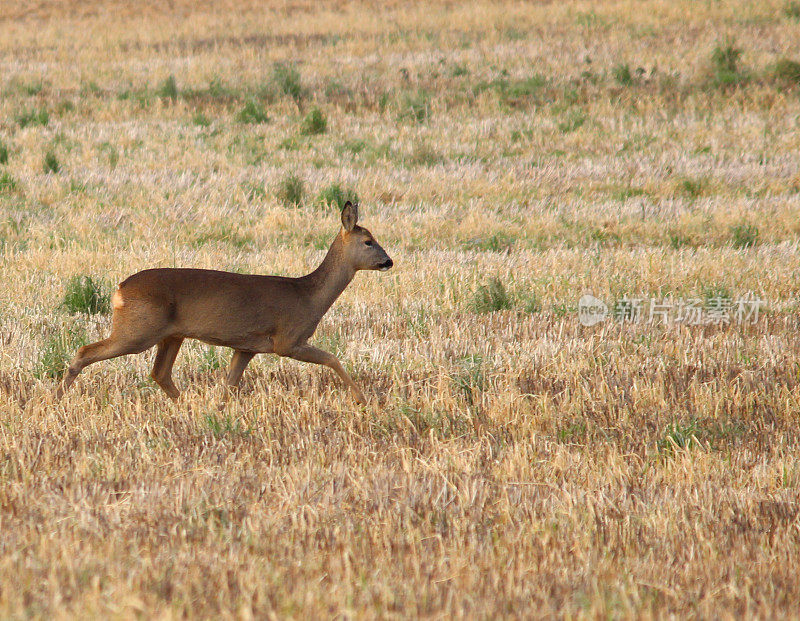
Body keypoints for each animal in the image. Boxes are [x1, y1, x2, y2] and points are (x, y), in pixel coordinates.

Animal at [54, 201, 392, 404]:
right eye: (368, 241)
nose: (388, 261)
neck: (308, 295)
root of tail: (119, 289)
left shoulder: (246, 346)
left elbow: (229, 384)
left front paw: (218, 409)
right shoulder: (287, 340)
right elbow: (333, 358)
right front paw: (363, 400)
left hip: (172, 335)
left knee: (160, 373)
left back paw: (186, 406)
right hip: (138, 330)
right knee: (85, 351)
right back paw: (57, 397)